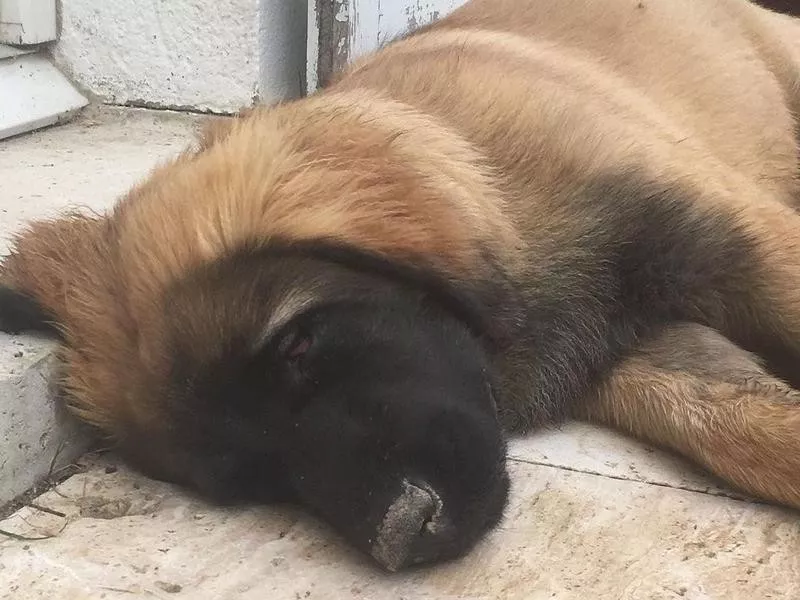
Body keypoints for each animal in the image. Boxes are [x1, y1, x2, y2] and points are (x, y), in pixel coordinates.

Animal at [1, 0, 800, 572]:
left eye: (299, 343)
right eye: (258, 474)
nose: (404, 533)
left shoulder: (743, 242)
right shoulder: (634, 351)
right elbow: (741, 427)